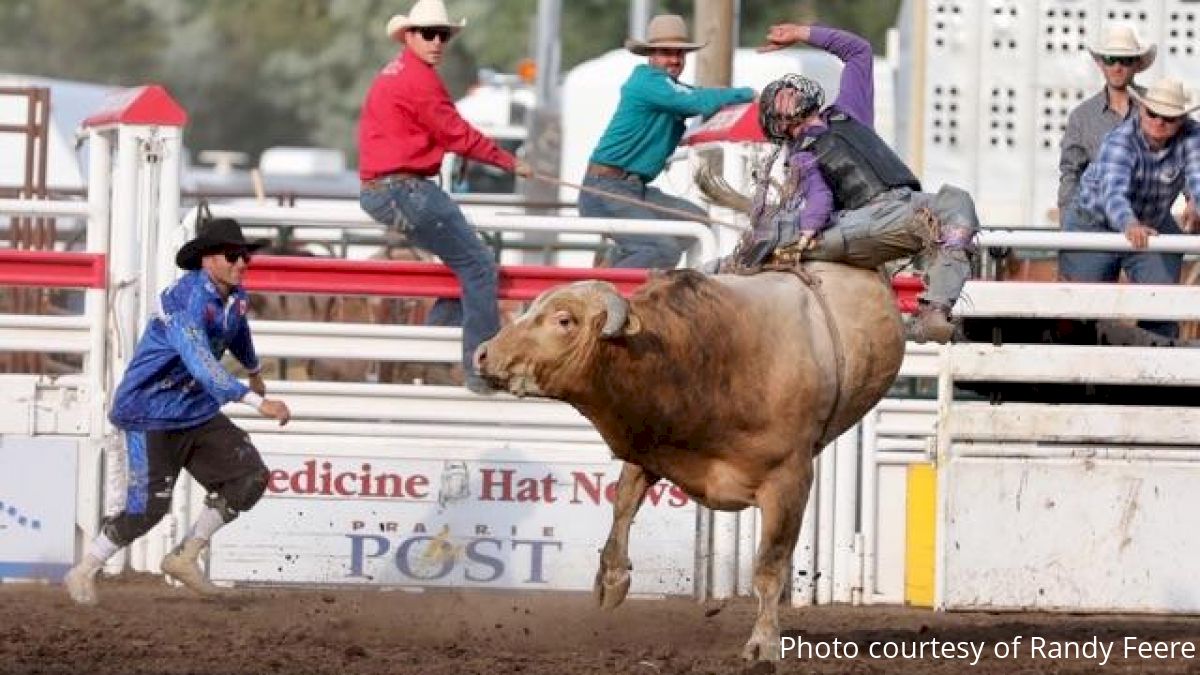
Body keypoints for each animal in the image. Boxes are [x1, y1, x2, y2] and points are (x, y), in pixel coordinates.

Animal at [472, 263, 902, 658]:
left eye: (564, 320)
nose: (483, 353)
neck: (704, 357)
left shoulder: (790, 479)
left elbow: (770, 565)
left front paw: (763, 643)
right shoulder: (649, 447)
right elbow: (622, 508)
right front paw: (611, 582)